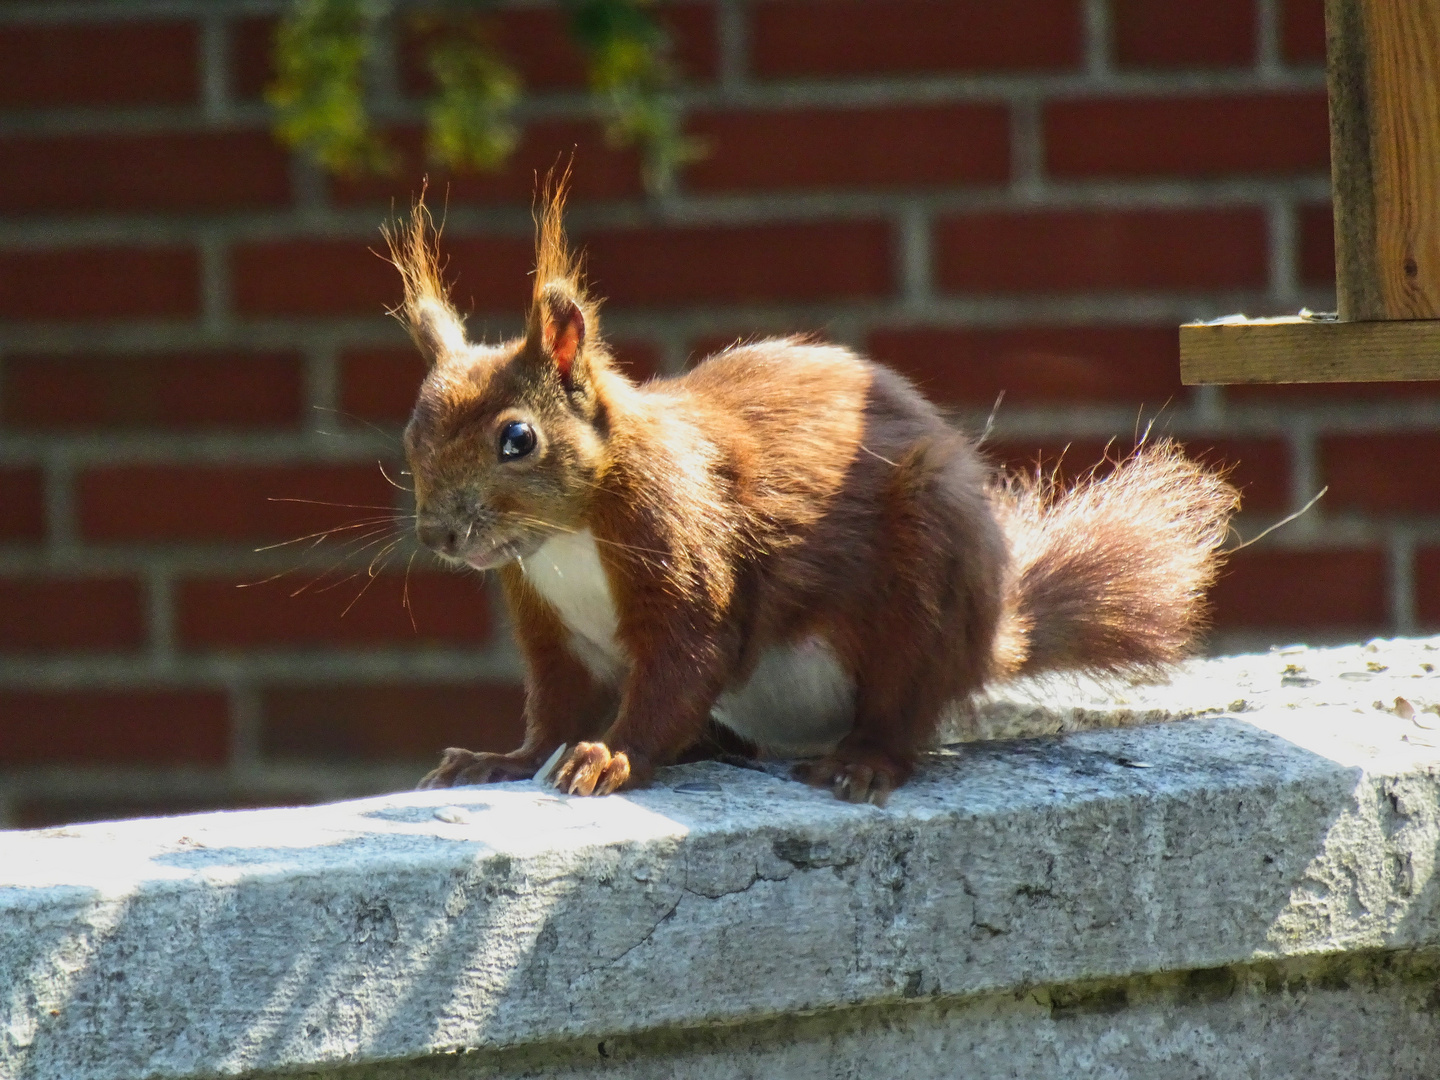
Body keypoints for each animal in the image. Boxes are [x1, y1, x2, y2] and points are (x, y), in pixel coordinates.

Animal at [385, 180, 1238, 806]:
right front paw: (502, 757)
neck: (565, 542)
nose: (440, 536)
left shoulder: (684, 545)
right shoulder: (550, 624)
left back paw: (861, 761)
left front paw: (611, 756)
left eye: (517, 439)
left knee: (901, 708)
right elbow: (556, 705)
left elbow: (681, 667)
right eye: (411, 433)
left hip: (926, 585)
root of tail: (989, 637)